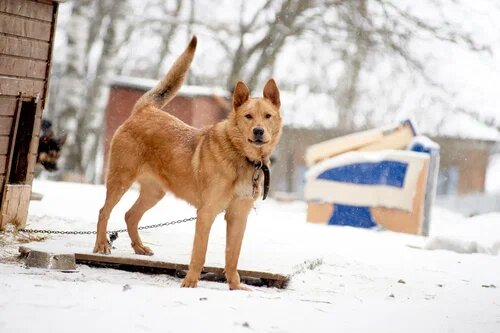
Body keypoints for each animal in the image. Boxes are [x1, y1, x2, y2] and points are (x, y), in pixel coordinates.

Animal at [94, 36, 282, 290]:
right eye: (248, 116)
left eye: (267, 116)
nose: (259, 131)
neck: (242, 157)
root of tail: (145, 110)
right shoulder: (206, 213)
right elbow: (199, 254)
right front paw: (190, 284)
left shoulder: (238, 216)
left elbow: (232, 257)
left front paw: (235, 287)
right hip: (120, 179)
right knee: (104, 211)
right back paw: (101, 244)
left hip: (155, 192)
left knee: (130, 215)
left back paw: (139, 247)